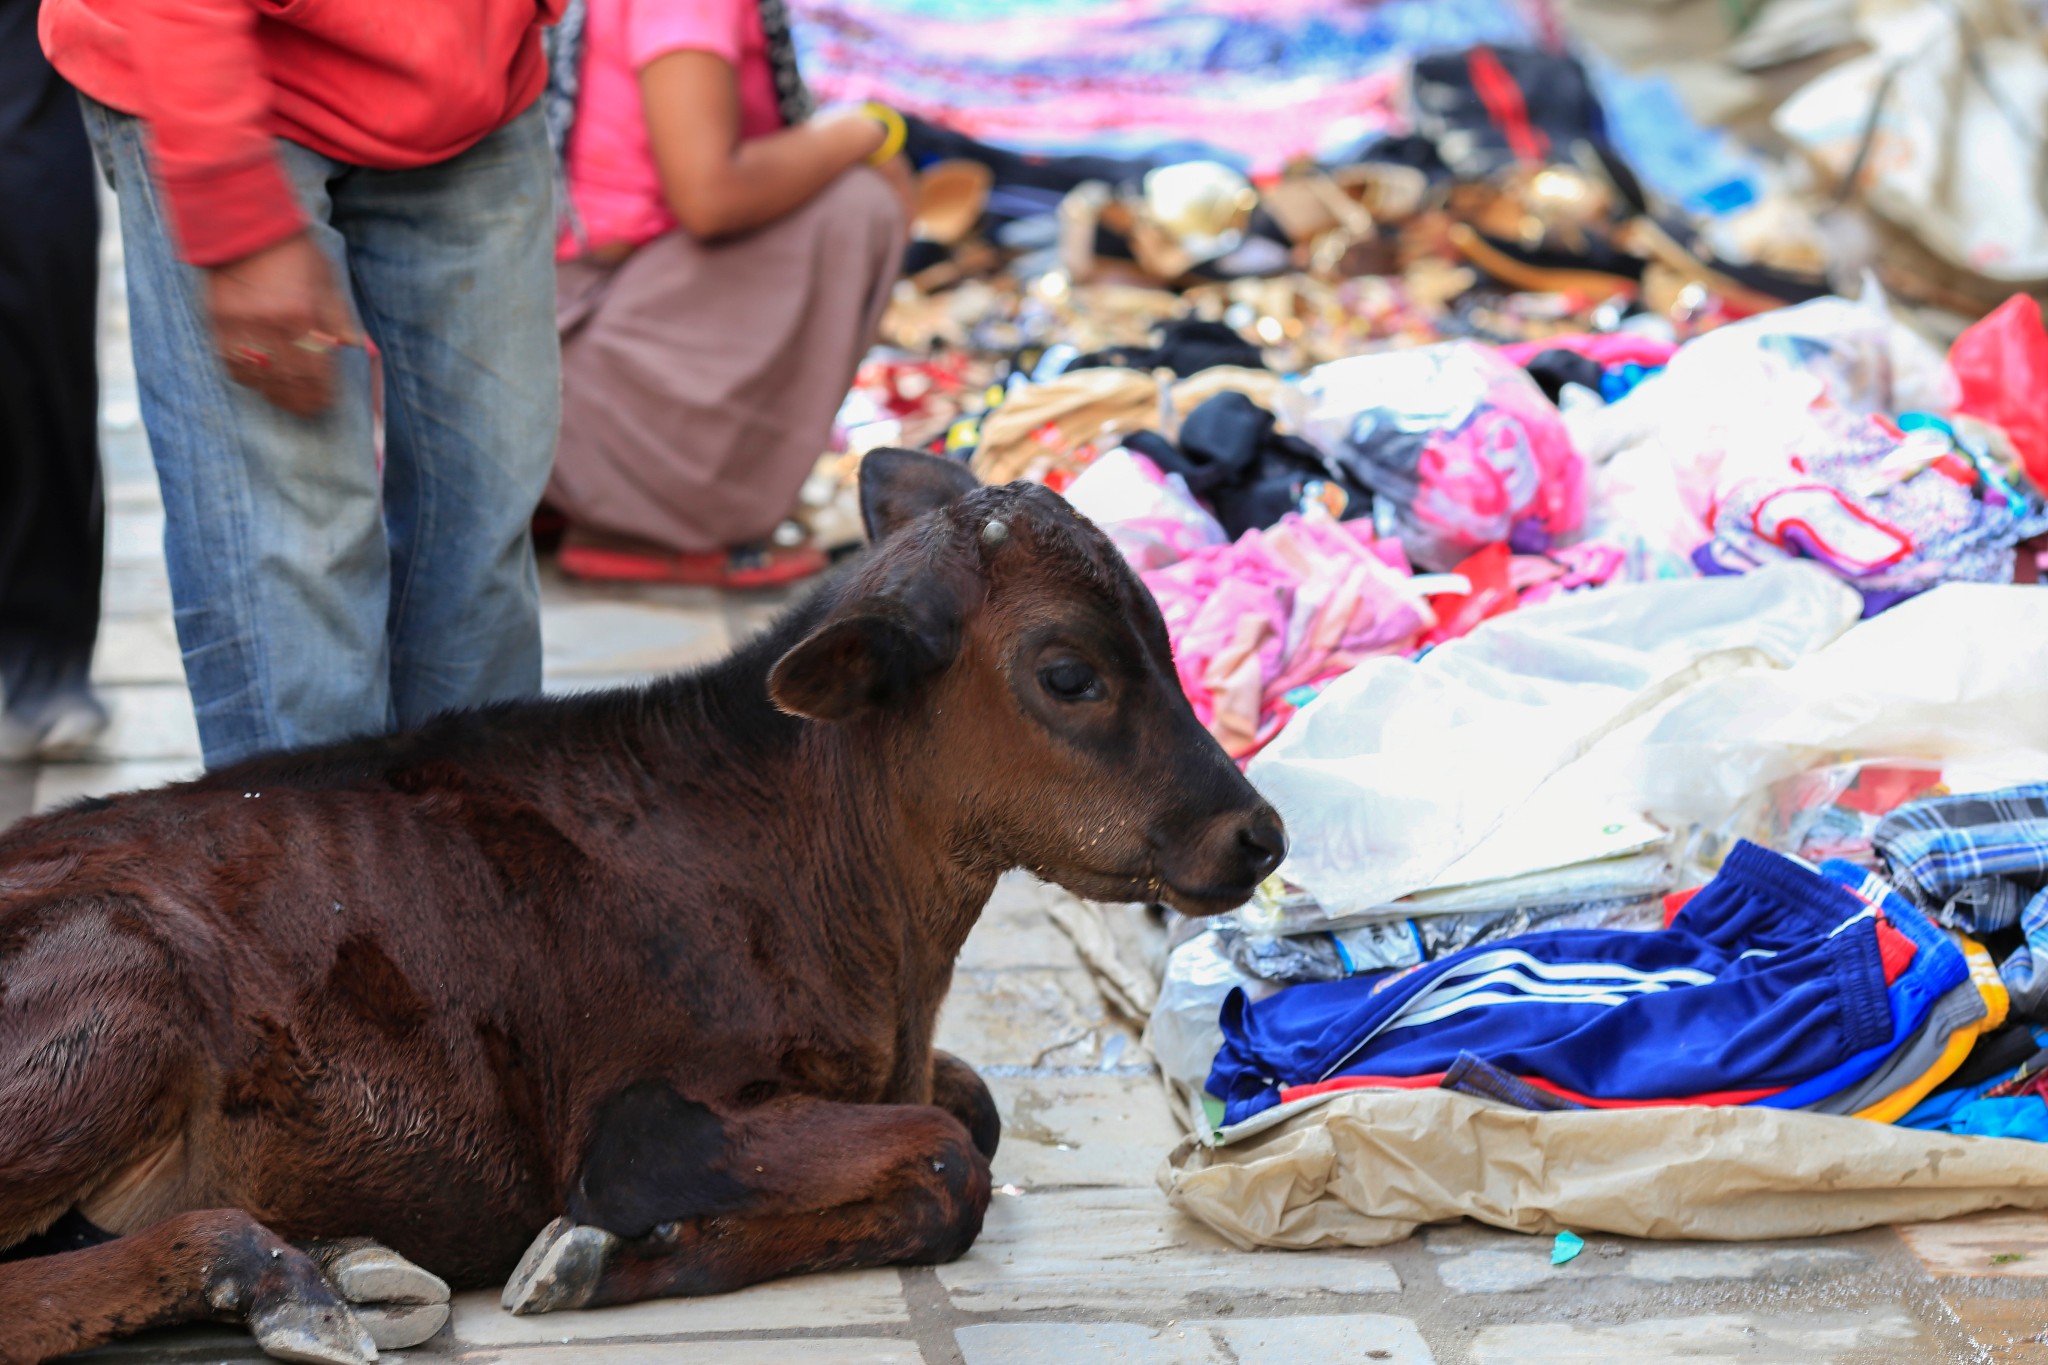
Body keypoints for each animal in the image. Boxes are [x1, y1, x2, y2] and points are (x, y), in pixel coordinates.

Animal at [0, 454, 1277, 1358]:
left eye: (1166, 632)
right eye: (1067, 674)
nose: (1257, 831)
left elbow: (972, 1107)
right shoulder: (636, 1120)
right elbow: (946, 1157)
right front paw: (592, 1258)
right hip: (123, 992)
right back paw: (267, 1274)